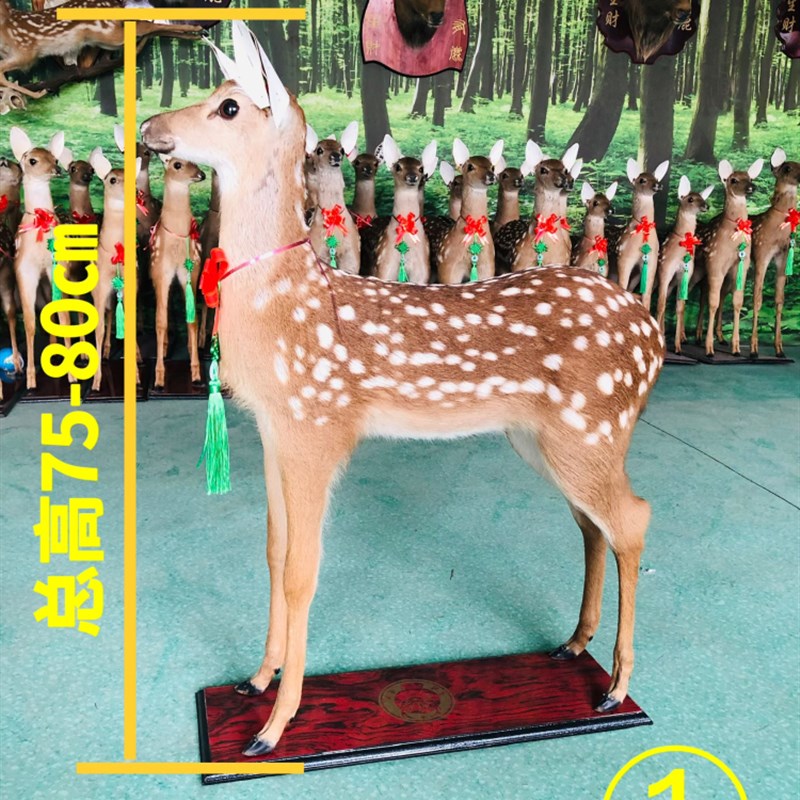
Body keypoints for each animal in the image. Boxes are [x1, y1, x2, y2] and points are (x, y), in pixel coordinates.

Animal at [0, 0, 202, 100]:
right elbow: (3, 76)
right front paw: (36, 93)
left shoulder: (26, 51)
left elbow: (3, 72)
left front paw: (37, 93)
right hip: (106, 39)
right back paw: (194, 34)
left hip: (110, 33)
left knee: (143, 25)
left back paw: (195, 28)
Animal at [614, 158, 669, 309]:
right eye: (642, 180)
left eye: (656, 178)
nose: (658, 184)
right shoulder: (624, 257)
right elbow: (622, 286)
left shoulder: (652, 261)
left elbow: (646, 295)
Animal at [654, 176, 712, 355]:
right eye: (690, 199)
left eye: (702, 197)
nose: (706, 206)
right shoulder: (665, 270)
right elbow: (660, 305)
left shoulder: (683, 275)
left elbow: (679, 307)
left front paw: (678, 347)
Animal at [693, 158, 763, 358]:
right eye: (733, 180)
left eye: (750, 177)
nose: (752, 187)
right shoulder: (715, 264)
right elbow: (713, 303)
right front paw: (709, 349)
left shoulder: (742, 267)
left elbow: (737, 303)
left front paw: (736, 348)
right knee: (700, 297)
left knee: (716, 297)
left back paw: (715, 337)